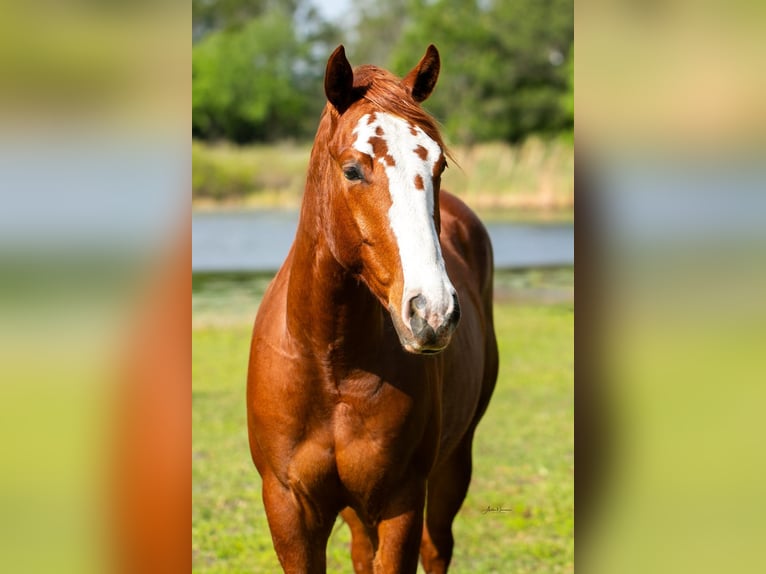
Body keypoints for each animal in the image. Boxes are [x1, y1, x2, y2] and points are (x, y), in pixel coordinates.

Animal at [247, 44, 498, 574]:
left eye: (438, 167)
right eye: (352, 169)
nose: (433, 312)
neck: (332, 363)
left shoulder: (400, 502)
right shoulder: (289, 509)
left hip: (453, 465)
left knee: (437, 548)